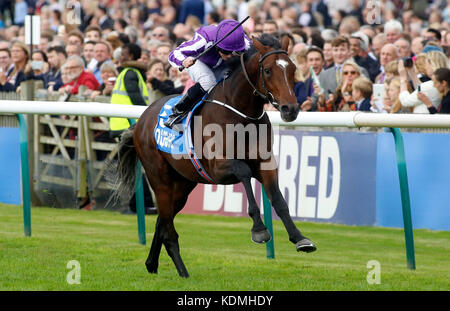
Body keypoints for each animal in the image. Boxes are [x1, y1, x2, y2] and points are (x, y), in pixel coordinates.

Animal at [111, 36, 318, 278]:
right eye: (267, 70)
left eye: (293, 69)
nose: (290, 109)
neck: (240, 112)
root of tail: (141, 121)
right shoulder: (218, 168)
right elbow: (244, 172)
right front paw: (259, 229)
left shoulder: (265, 163)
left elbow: (278, 200)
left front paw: (300, 238)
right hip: (160, 179)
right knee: (169, 231)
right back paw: (183, 272)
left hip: (182, 186)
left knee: (162, 221)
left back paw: (151, 264)